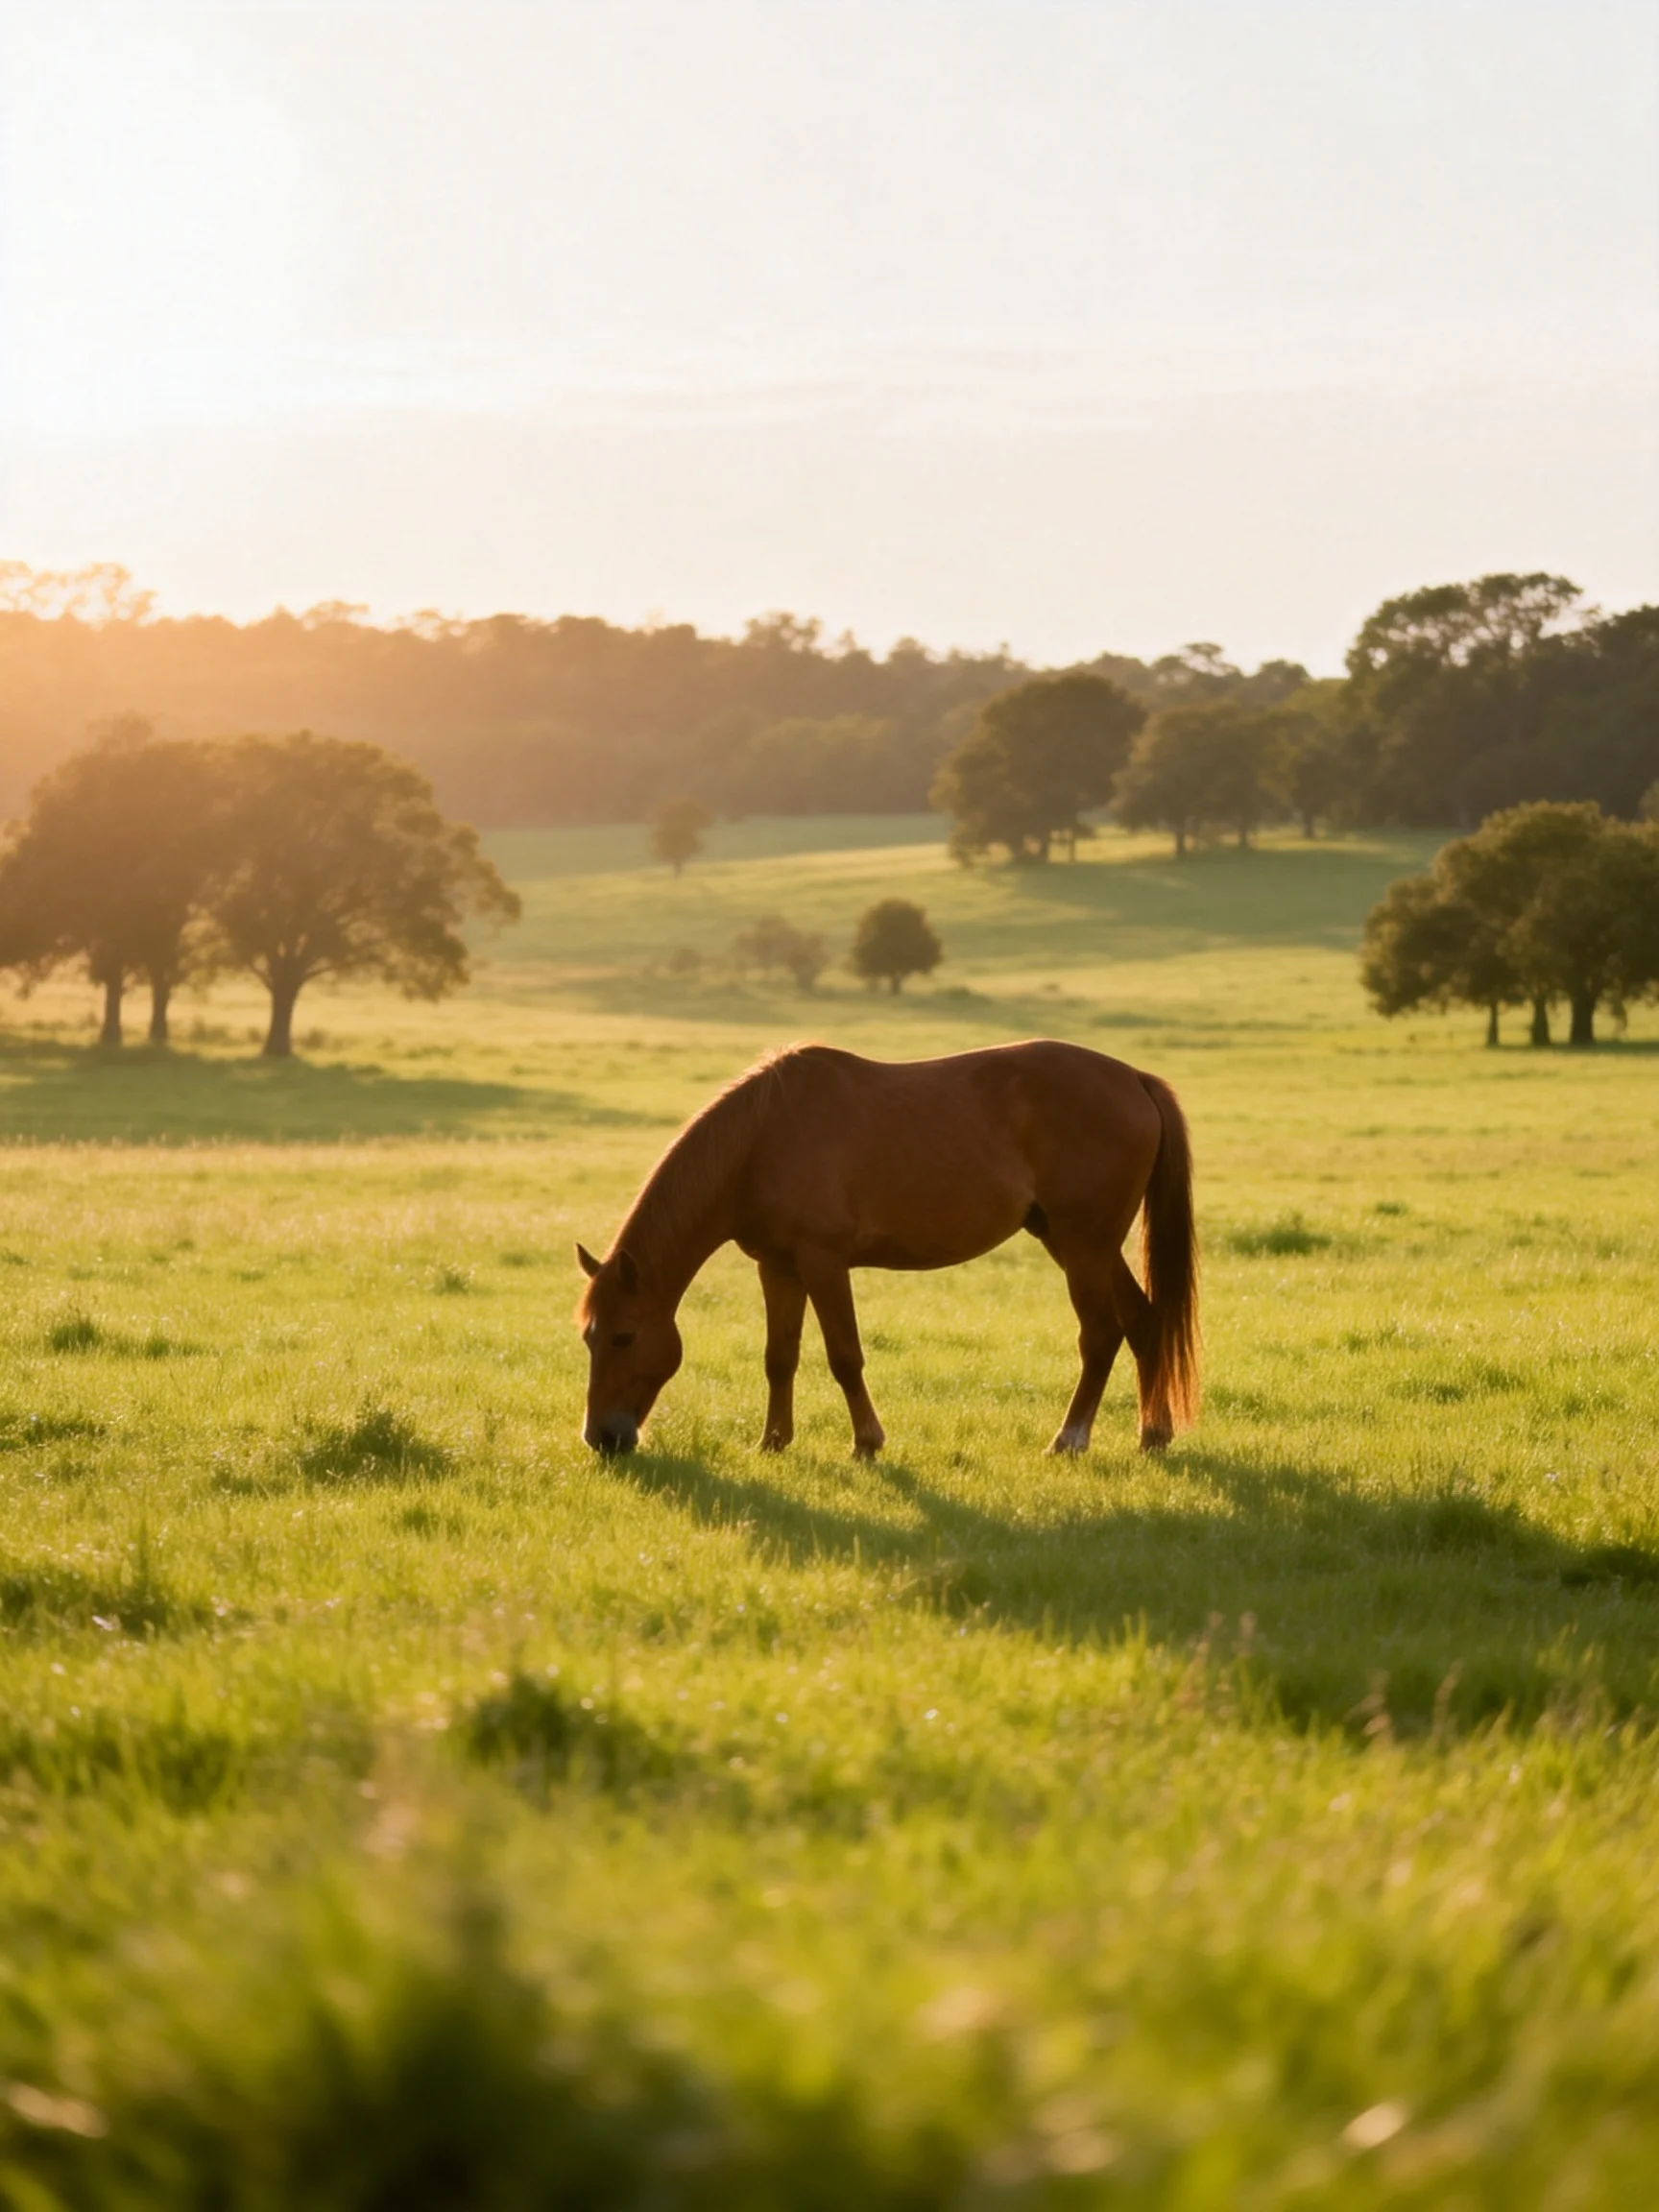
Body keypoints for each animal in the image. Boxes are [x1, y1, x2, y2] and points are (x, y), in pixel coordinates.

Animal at [575, 1039, 1198, 1460]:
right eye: (589, 1338)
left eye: (624, 1336)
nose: (601, 1437)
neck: (761, 1141)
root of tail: (1134, 1078)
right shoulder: (778, 1269)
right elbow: (780, 1358)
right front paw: (773, 1442)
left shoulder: (824, 1263)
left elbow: (844, 1356)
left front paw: (867, 1443)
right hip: (1078, 1243)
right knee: (1143, 1323)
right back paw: (1152, 1435)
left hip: (1083, 1243)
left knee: (1101, 1335)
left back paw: (1069, 1439)